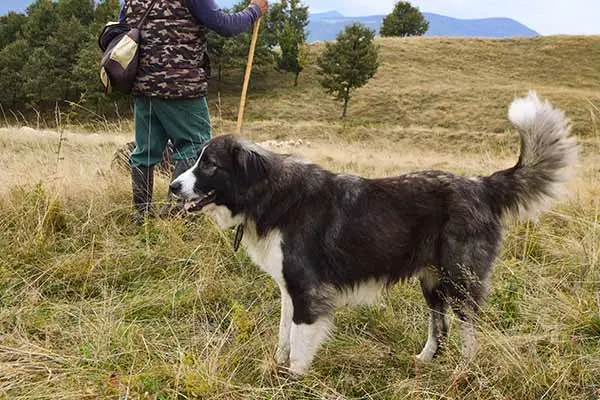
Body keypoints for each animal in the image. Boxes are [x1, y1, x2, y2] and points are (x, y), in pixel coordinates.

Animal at [168, 93, 576, 376]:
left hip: (459, 279)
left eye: (210, 165)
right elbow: (284, 334)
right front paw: (276, 366)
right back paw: (423, 360)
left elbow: (299, 342)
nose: (172, 187)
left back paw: (463, 369)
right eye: (198, 160)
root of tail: (482, 184)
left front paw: (292, 380)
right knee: (439, 326)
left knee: (467, 327)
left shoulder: (307, 290)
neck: (270, 194)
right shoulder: (289, 288)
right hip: (432, 280)